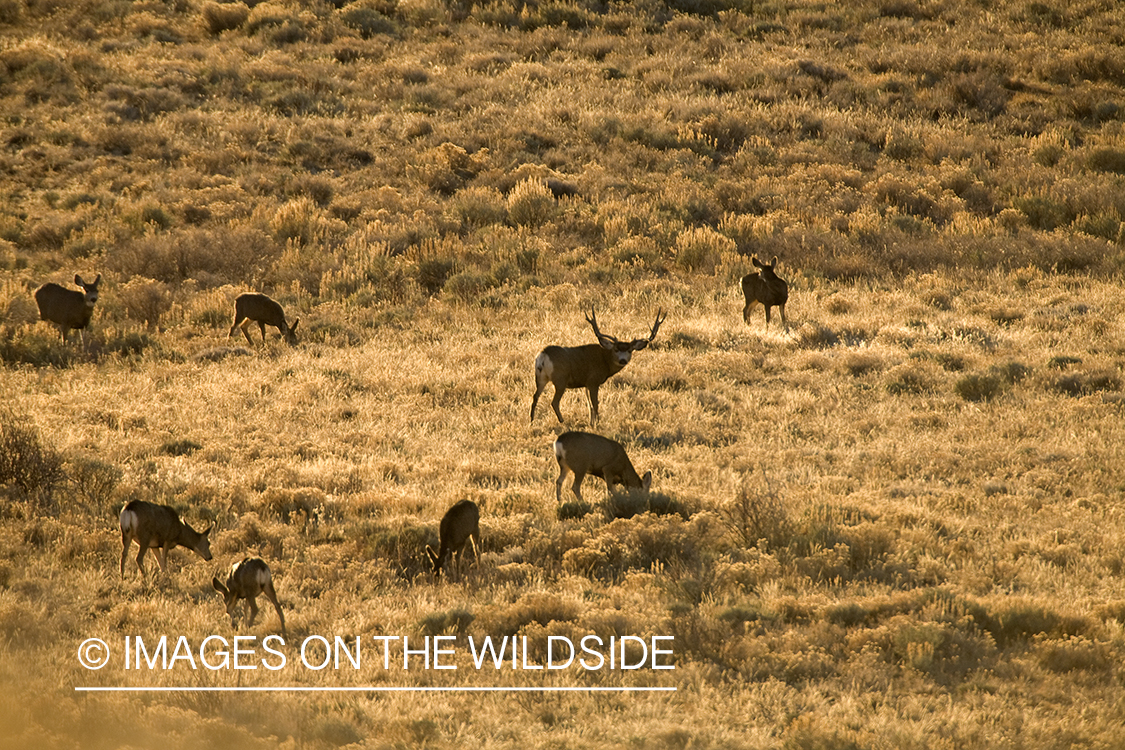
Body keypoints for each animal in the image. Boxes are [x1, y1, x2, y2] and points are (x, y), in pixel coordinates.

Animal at [531, 309, 666, 426]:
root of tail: (543, 355)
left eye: (630, 350)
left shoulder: (586, 384)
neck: (605, 361)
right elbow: (595, 404)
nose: (622, 360)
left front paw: (591, 423)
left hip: (540, 377)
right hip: (560, 379)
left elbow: (589, 404)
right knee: (554, 402)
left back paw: (531, 421)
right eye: (616, 349)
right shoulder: (593, 381)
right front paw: (597, 423)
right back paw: (563, 422)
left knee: (535, 397)